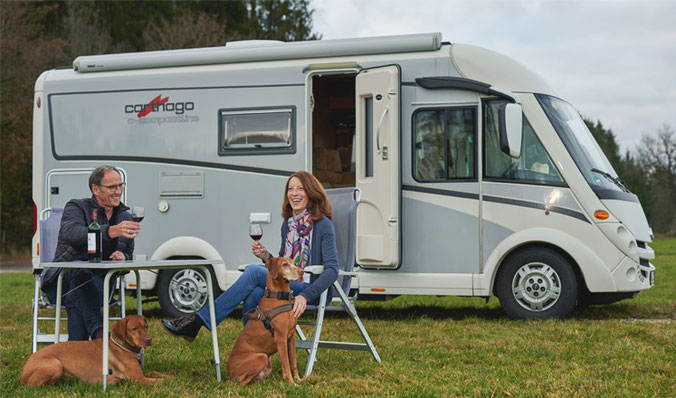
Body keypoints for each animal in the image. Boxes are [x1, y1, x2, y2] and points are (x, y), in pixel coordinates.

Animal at [20, 314, 172, 386]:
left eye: (146, 326)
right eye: (134, 329)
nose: (149, 339)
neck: (122, 345)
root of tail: (24, 371)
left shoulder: (141, 372)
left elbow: (156, 372)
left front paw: (171, 376)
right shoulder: (139, 378)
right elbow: (159, 381)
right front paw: (174, 382)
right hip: (56, 365)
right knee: (34, 386)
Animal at [227, 258, 304, 386]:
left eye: (295, 264)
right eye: (285, 264)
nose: (302, 271)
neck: (280, 298)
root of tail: (228, 372)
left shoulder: (291, 337)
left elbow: (293, 361)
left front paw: (298, 379)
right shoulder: (281, 339)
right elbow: (286, 364)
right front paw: (292, 383)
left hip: (268, 364)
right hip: (261, 357)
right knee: (242, 382)